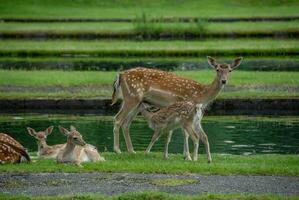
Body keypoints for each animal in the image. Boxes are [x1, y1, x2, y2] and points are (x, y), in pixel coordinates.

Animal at [111, 55, 243, 162]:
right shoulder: (185, 110)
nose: (224, 81)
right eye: (217, 69)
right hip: (131, 97)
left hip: (136, 102)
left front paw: (185, 156)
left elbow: (182, 133)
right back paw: (118, 150)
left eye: (230, 70)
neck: (200, 95)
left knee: (126, 123)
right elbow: (185, 133)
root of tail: (120, 75)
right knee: (117, 119)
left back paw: (131, 151)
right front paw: (188, 156)